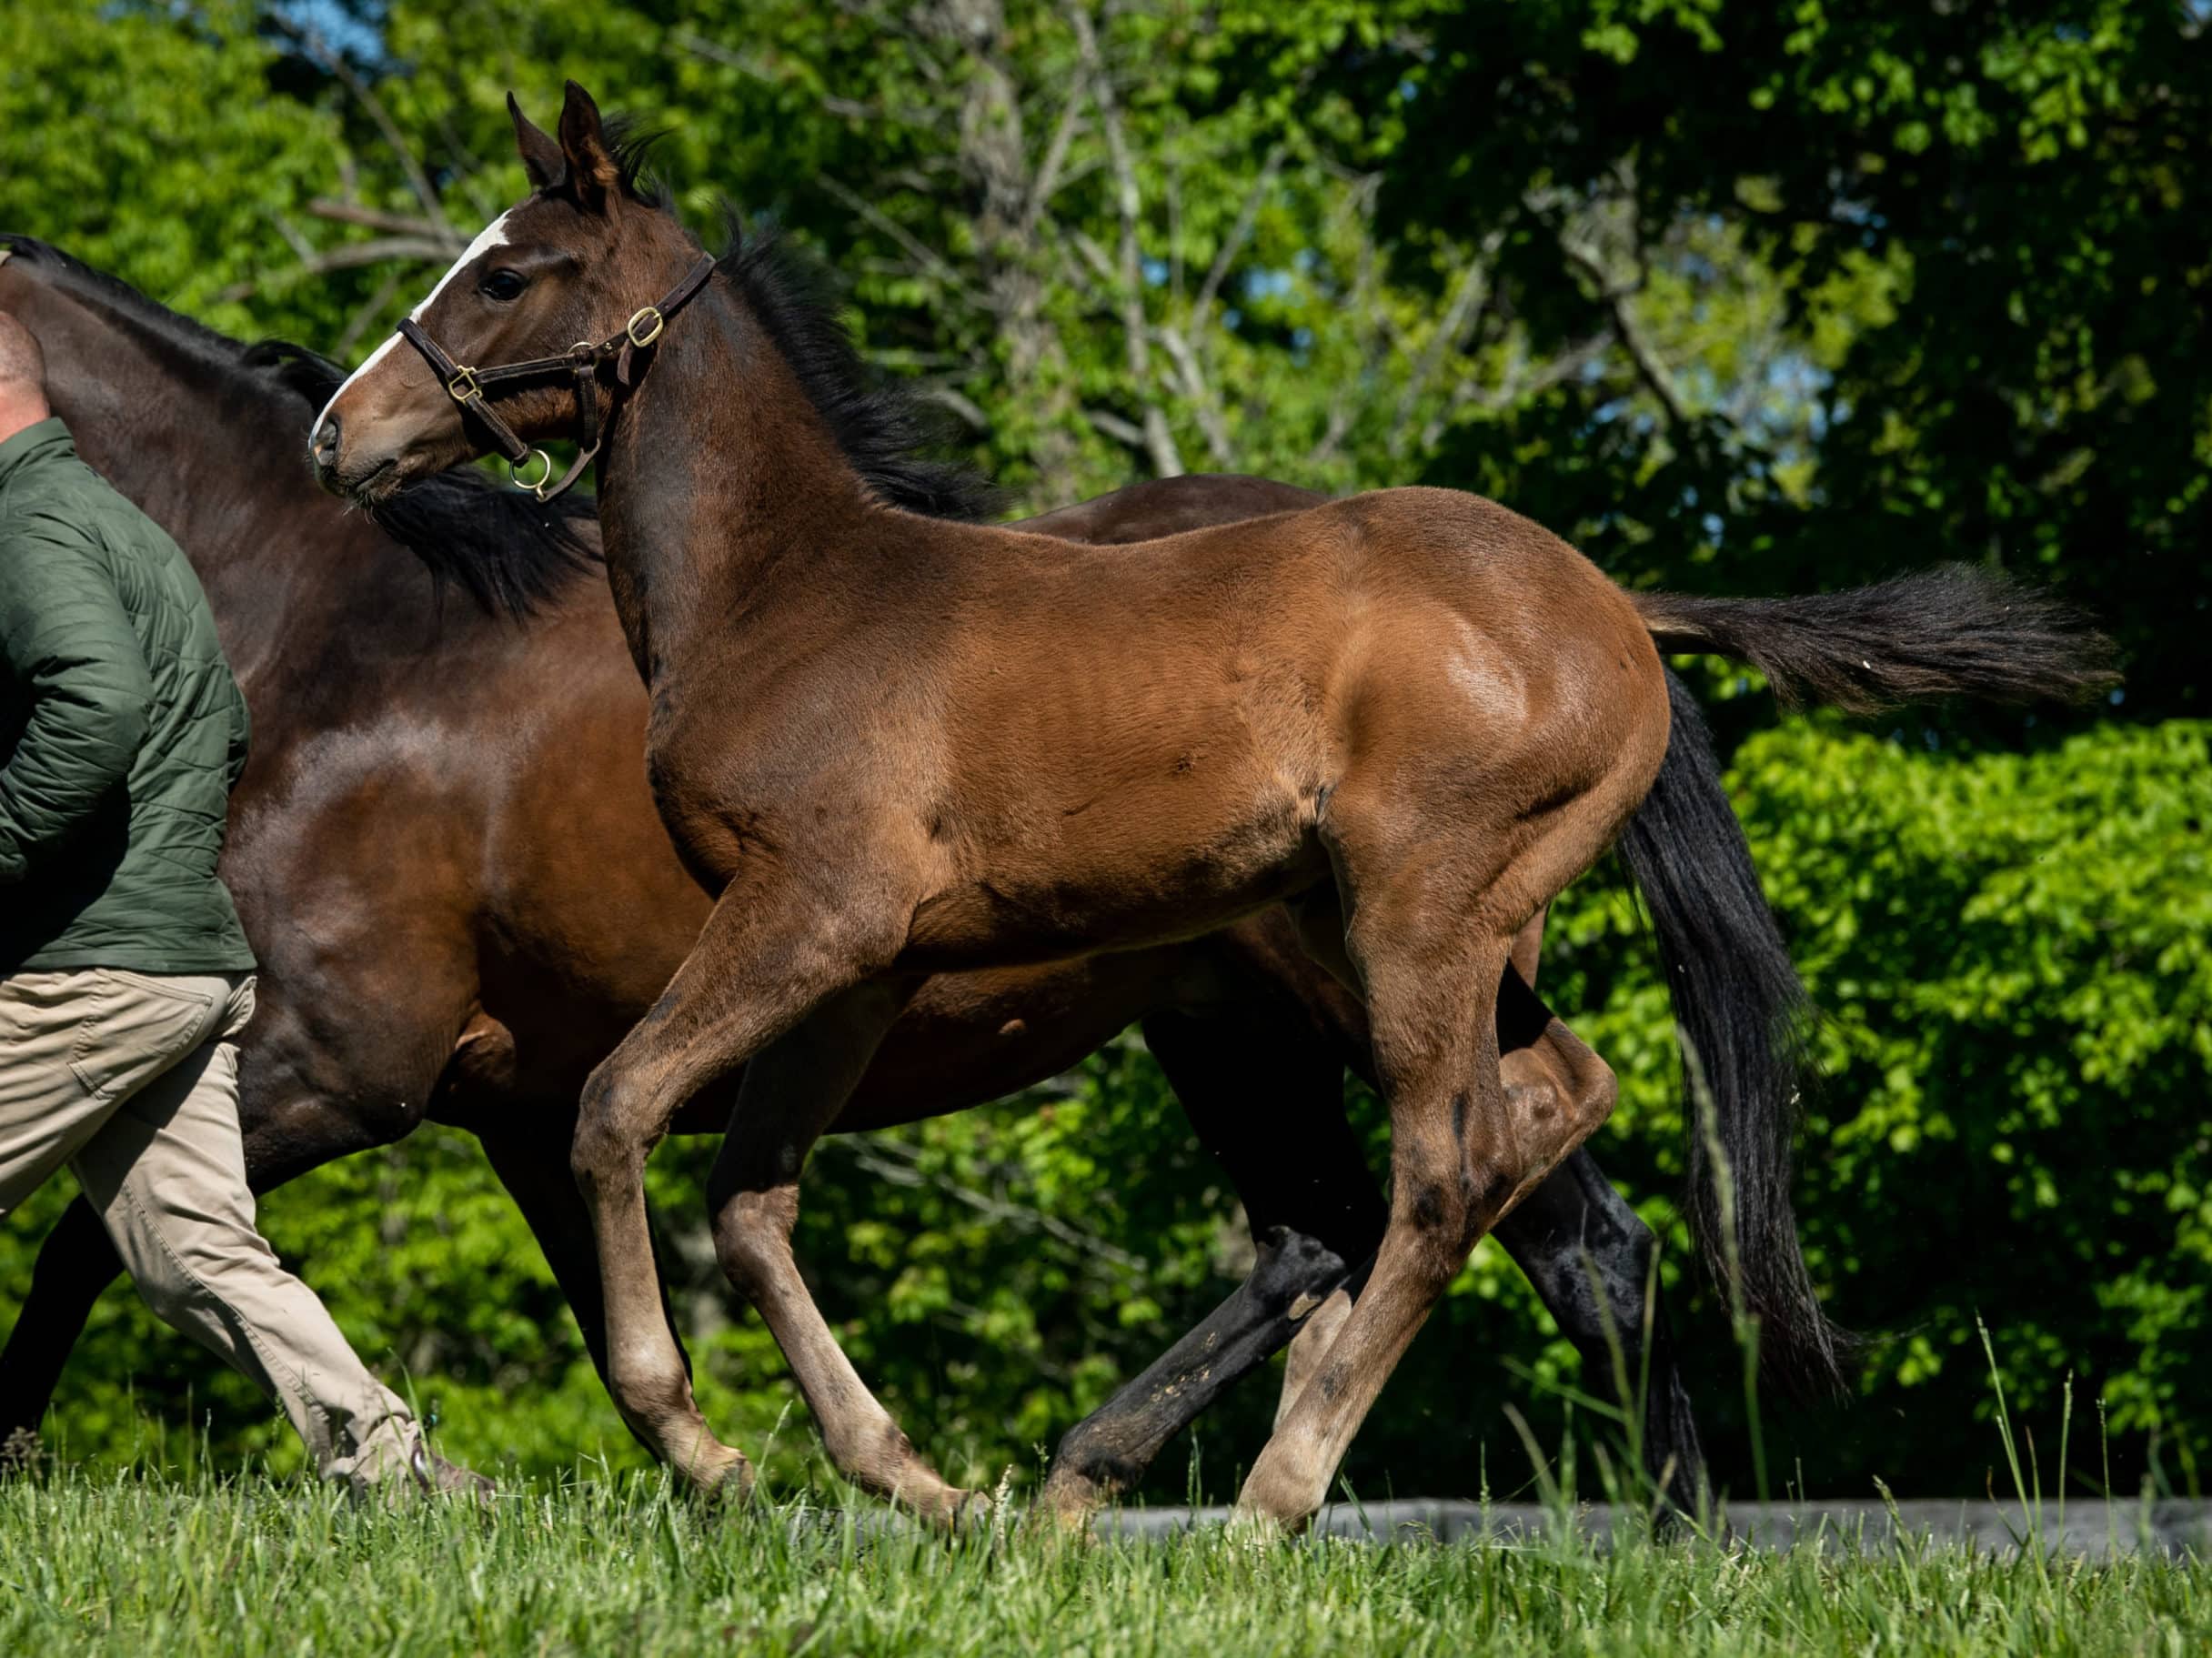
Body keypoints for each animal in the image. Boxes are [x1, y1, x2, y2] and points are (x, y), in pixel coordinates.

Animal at [0, 234, 1707, 1521]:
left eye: (503, 277)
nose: (341, 435)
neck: (362, 651)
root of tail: (1593, 610)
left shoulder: (348, 1063)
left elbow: (93, 1235)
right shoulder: (517, 1105)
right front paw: (740, 1479)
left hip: (1366, 975)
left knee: (1543, 1221)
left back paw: (1639, 1522)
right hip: (1231, 1024)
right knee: (1338, 1224)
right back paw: (1102, 1472)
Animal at [303, 84, 2114, 1530]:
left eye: (508, 271)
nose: (339, 434)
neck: (789, 592)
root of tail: (1618, 606)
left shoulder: (805, 915)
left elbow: (614, 1108)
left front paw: (705, 1447)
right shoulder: (868, 964)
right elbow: (751, 1200)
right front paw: (913, 1480)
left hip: (1407, 920)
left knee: (1442, 1168)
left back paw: (1268, 1496)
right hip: (1419, 938)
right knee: (1544, 1112)